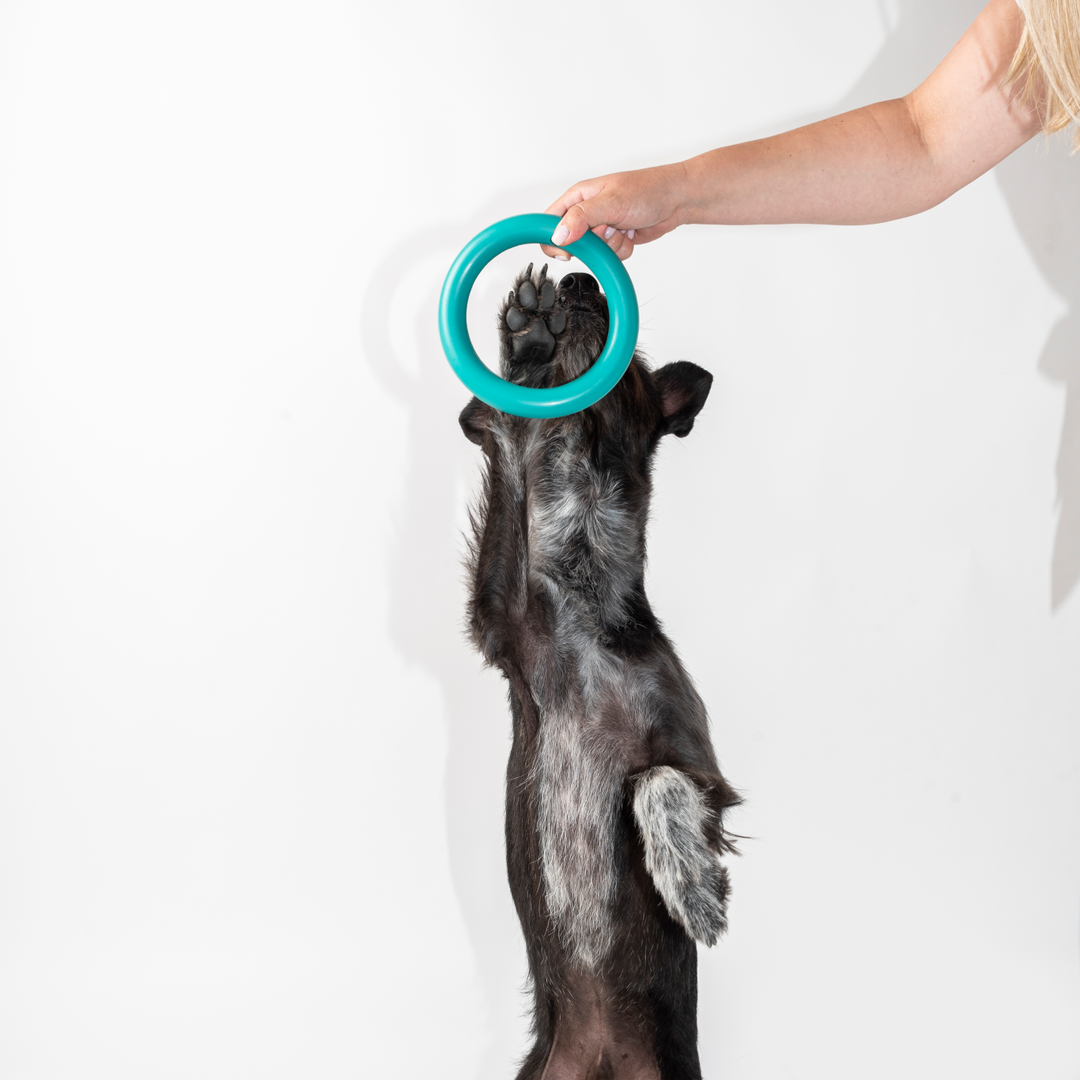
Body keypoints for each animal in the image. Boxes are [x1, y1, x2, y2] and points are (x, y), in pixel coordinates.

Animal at [460, 263, 738, 1080]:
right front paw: (526, 339)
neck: (585, 615)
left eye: (633, 361)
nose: (582, 280)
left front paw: (697, 888)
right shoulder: (501, 616)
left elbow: (656, 781)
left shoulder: (705, 769)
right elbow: (506, 440)